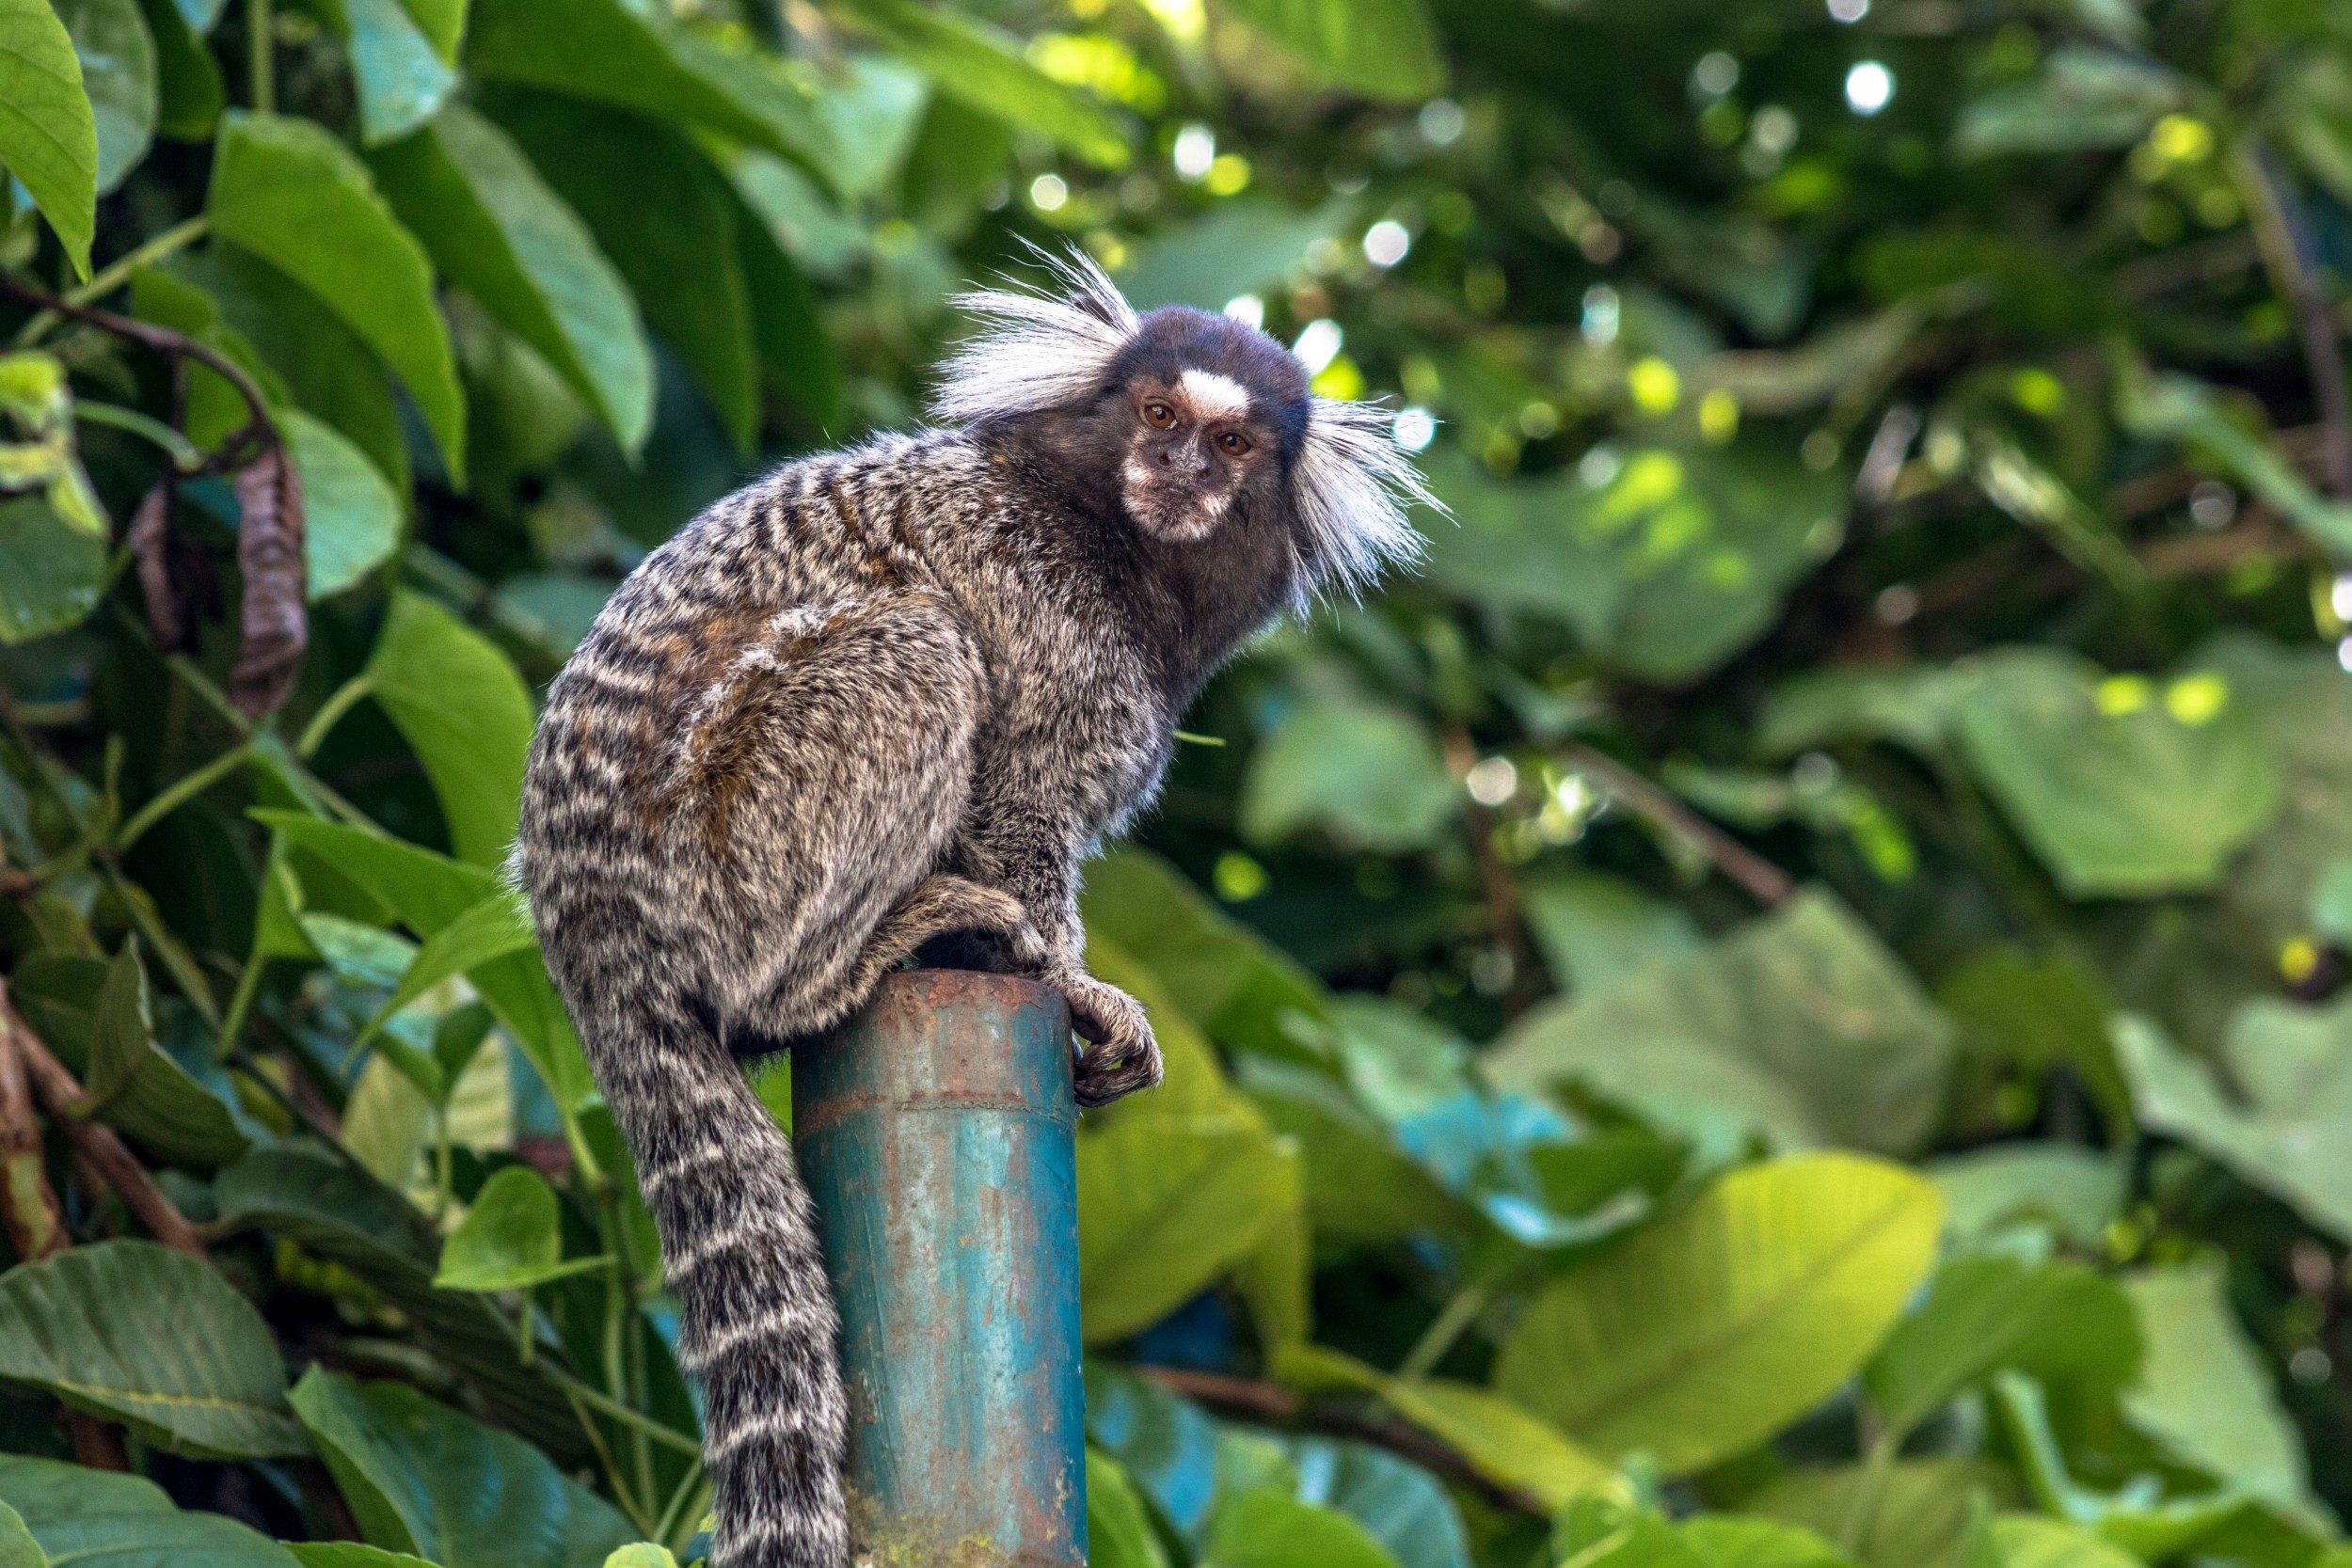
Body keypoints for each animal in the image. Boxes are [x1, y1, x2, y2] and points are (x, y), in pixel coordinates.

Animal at [517, 255, 1430, 1568]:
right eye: (1156, 414)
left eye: (1233, 440)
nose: (1179, 470)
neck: (1112, 543)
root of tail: (581, 922)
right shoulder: (1043, 621)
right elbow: (1016, 814)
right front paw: (1076, 987)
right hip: (731, 842)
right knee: (918, 646)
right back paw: (831, 970)